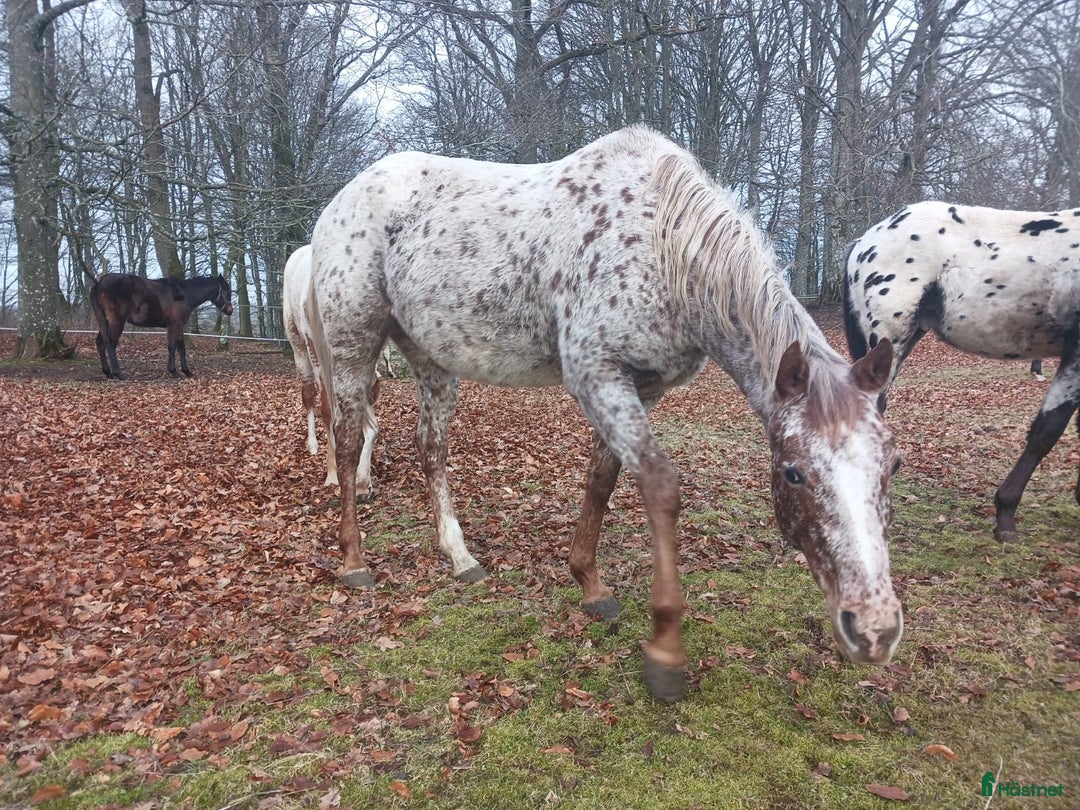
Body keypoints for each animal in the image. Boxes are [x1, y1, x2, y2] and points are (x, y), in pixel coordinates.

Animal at [88, 273, 233, 380]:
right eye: (225, 291)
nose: (230, 310)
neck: (184, 294)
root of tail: (99, 284)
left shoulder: (180, 326)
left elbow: (181, 348)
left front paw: (187, 371)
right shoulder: (174, 324)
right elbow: (172, 346)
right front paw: (174, 371)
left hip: (104, 322)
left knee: (101, 343)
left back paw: (107, 372)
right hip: (116, 322)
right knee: (111, 344)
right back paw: (118, 373)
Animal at [282, 244, 380, 496]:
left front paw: (363, 480)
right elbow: (327, 411)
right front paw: (333, 474)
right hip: (299, 346)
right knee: (308, 395)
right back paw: (313, 445)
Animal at [307, 125, 901, 702]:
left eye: (891, 466)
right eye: (793, 473)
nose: (874, 629)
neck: (663, 248)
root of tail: (342, 200)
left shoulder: (643, 387)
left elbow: (602, 478)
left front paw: (589, 582)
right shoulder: (596, 374)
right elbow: (659, 486)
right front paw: (665, 651)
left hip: (431, 360)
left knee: (430, 448)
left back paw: (460, 558)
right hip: (353, 343)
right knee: (348, 438)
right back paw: (355, 562)